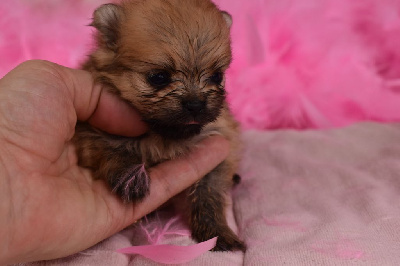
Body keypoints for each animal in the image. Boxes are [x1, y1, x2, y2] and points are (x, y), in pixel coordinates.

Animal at [73, 0, 245, 251]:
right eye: (158, 77)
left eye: (216, 76)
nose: (195, 104)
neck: (165, 136)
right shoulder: (90, 132)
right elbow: (112, 151)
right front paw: (131, 175)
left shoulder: (219, 145)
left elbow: (208, 195)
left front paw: (217, 233)